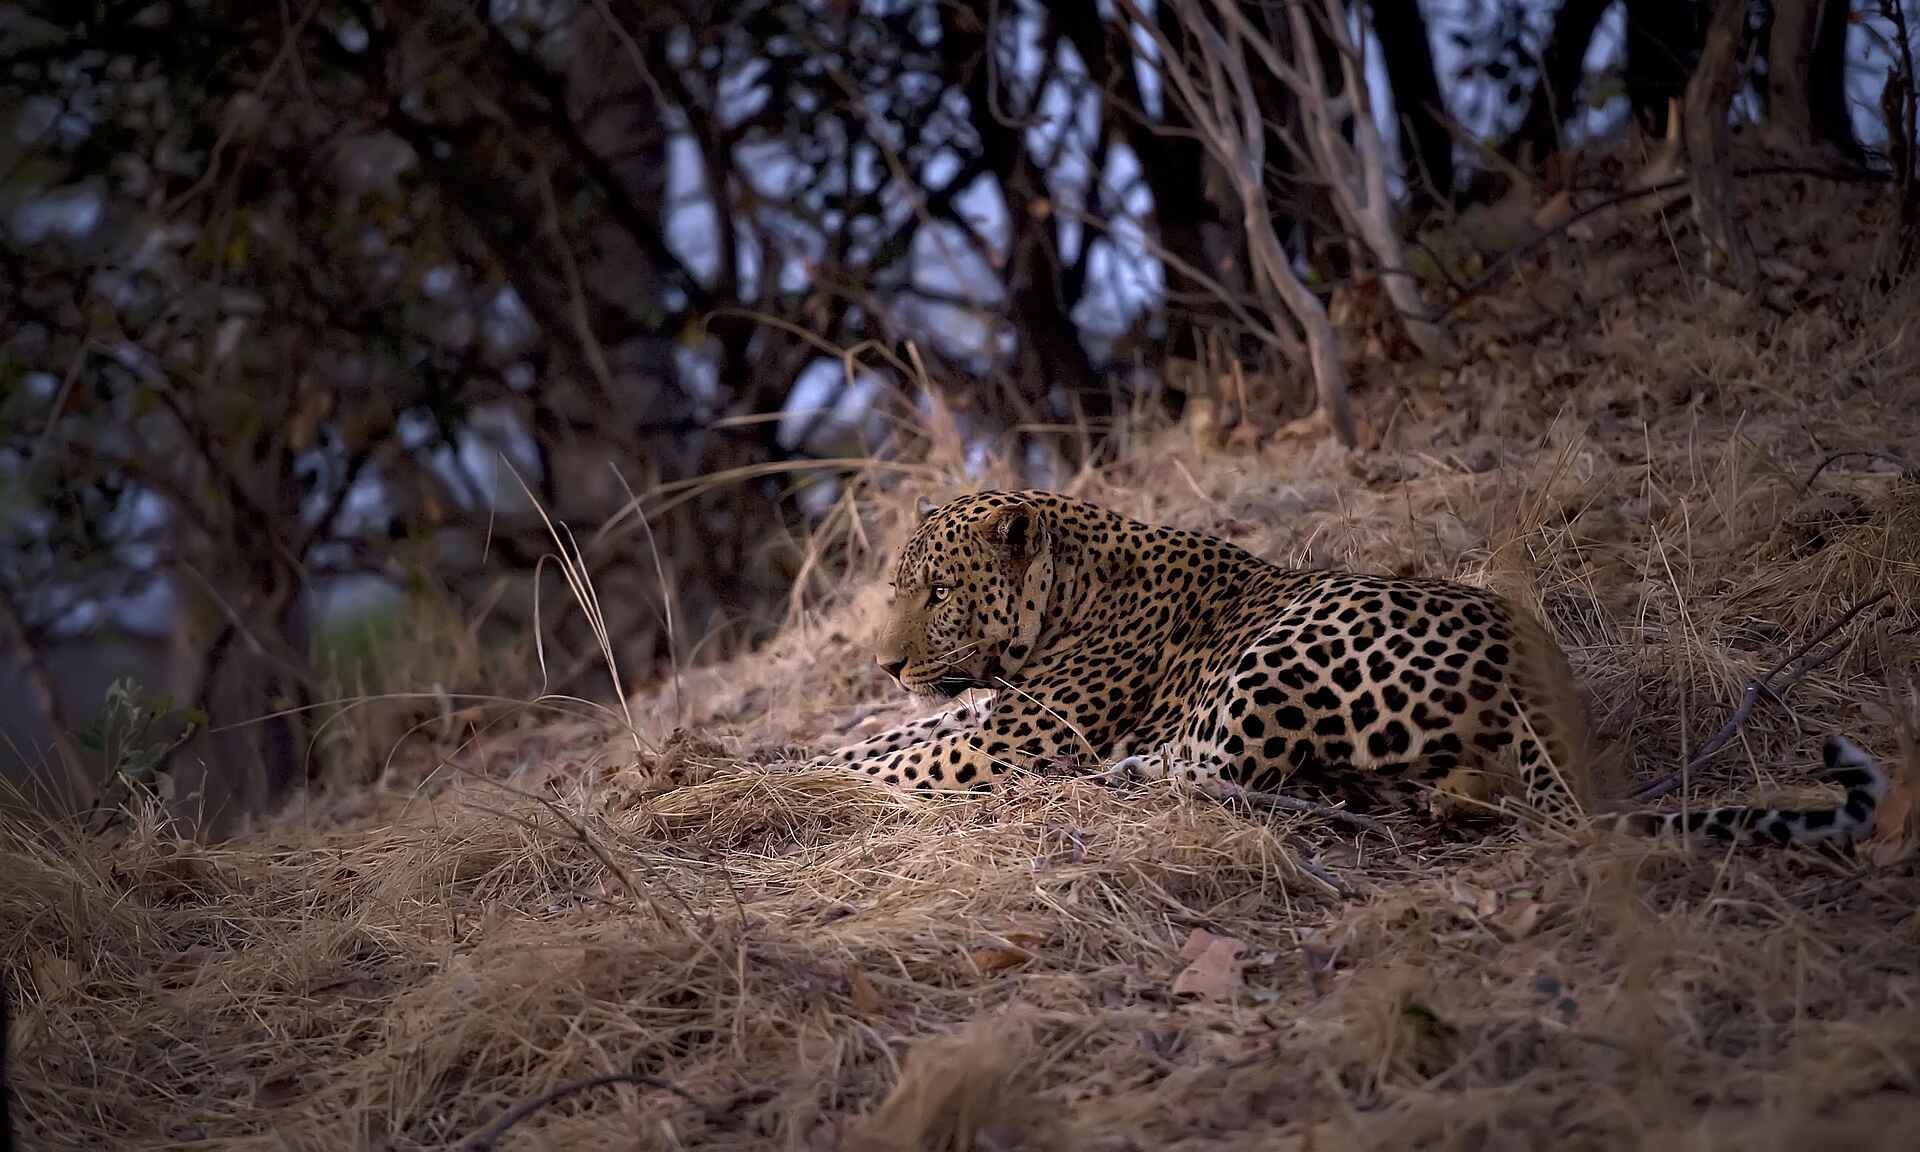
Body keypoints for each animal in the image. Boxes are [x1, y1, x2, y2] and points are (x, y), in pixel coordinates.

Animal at [810, 490, 1887, 848]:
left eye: (937, 594)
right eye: (901, 591)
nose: (886, 662)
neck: (1067, 592)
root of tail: (1538, 676)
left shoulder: (1020, 735)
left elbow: (884, 759)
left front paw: (788, 780)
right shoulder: (981, 717)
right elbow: (894, 739)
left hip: (1287, 646)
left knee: (1223, 769)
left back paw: (1122, 778)